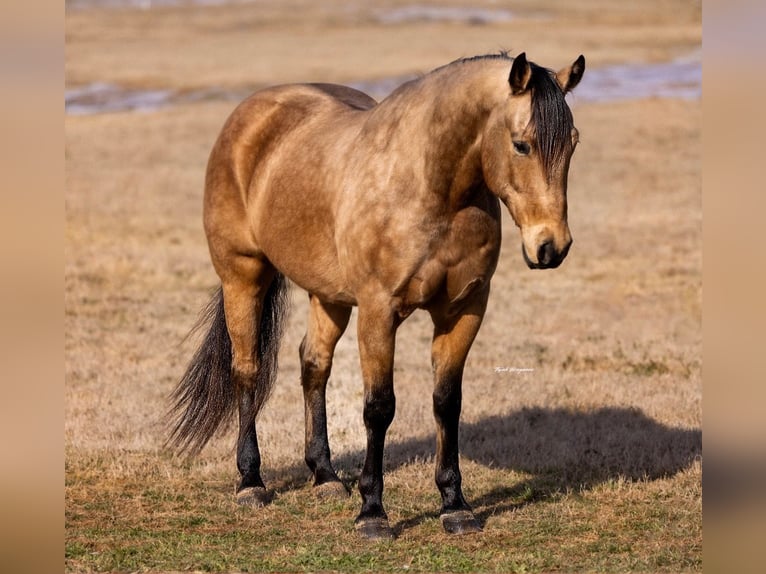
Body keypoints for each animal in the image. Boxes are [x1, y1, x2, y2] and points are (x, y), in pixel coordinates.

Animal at [168, 51, 585, 540]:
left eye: (573, 142)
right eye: (521, 145)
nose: (551, 247)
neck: (430, 189)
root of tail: (249, 115)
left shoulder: (463, 310)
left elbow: (447, 402)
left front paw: (455, 505)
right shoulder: (379, 312)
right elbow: (379, 407)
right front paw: (372, 512)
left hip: (327, 295)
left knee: (314, 365)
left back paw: (325, 476)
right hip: (244, 276)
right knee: (248, 370)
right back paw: (251, 482)